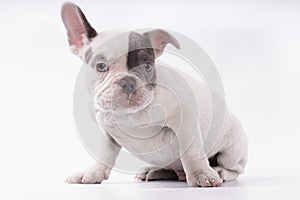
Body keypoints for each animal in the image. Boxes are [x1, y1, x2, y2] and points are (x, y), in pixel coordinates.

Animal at [61, 1, 248, 188]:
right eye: (100, 66)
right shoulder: (107, 131)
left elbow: (191, 151)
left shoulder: (185, 118)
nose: (128, 81)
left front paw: (201, 174)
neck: (130, 114)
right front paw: (93, 172)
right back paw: (154, 171)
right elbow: (104, 154)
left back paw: (219, 171)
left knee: (235, 169)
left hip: (232, 148)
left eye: (148, 66)